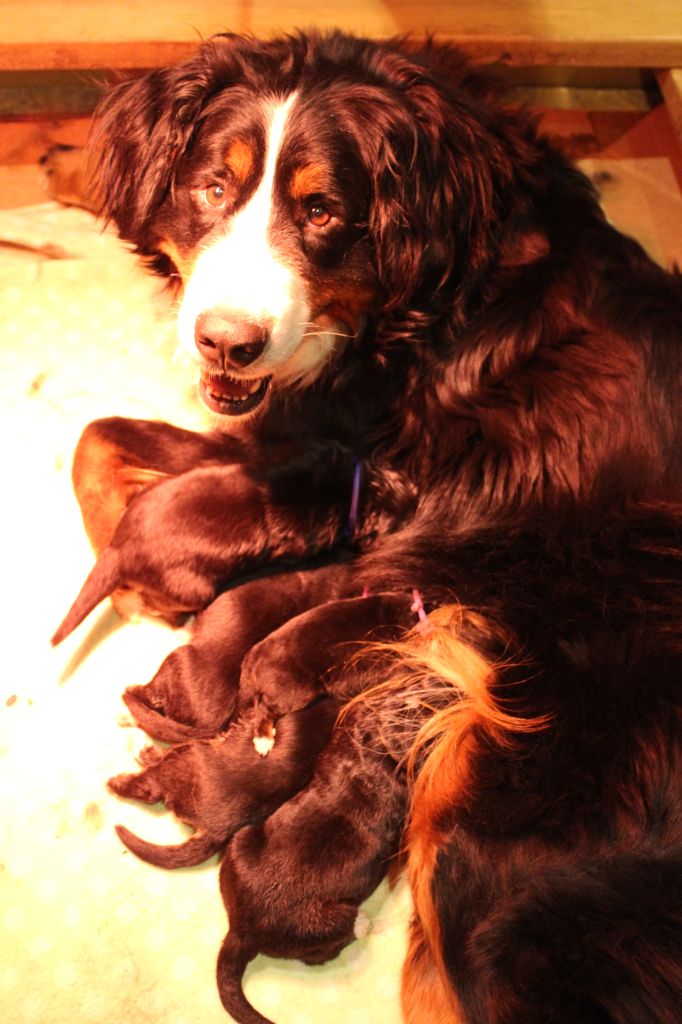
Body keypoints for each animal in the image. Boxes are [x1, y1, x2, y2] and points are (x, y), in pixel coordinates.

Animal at [59, 28, 679, 1024]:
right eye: (212, 189)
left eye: (322, 212)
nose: (226, 342)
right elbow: (96, 439)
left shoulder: (314, 438)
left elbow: (100, 442)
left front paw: (155, 592)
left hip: (499, 861)